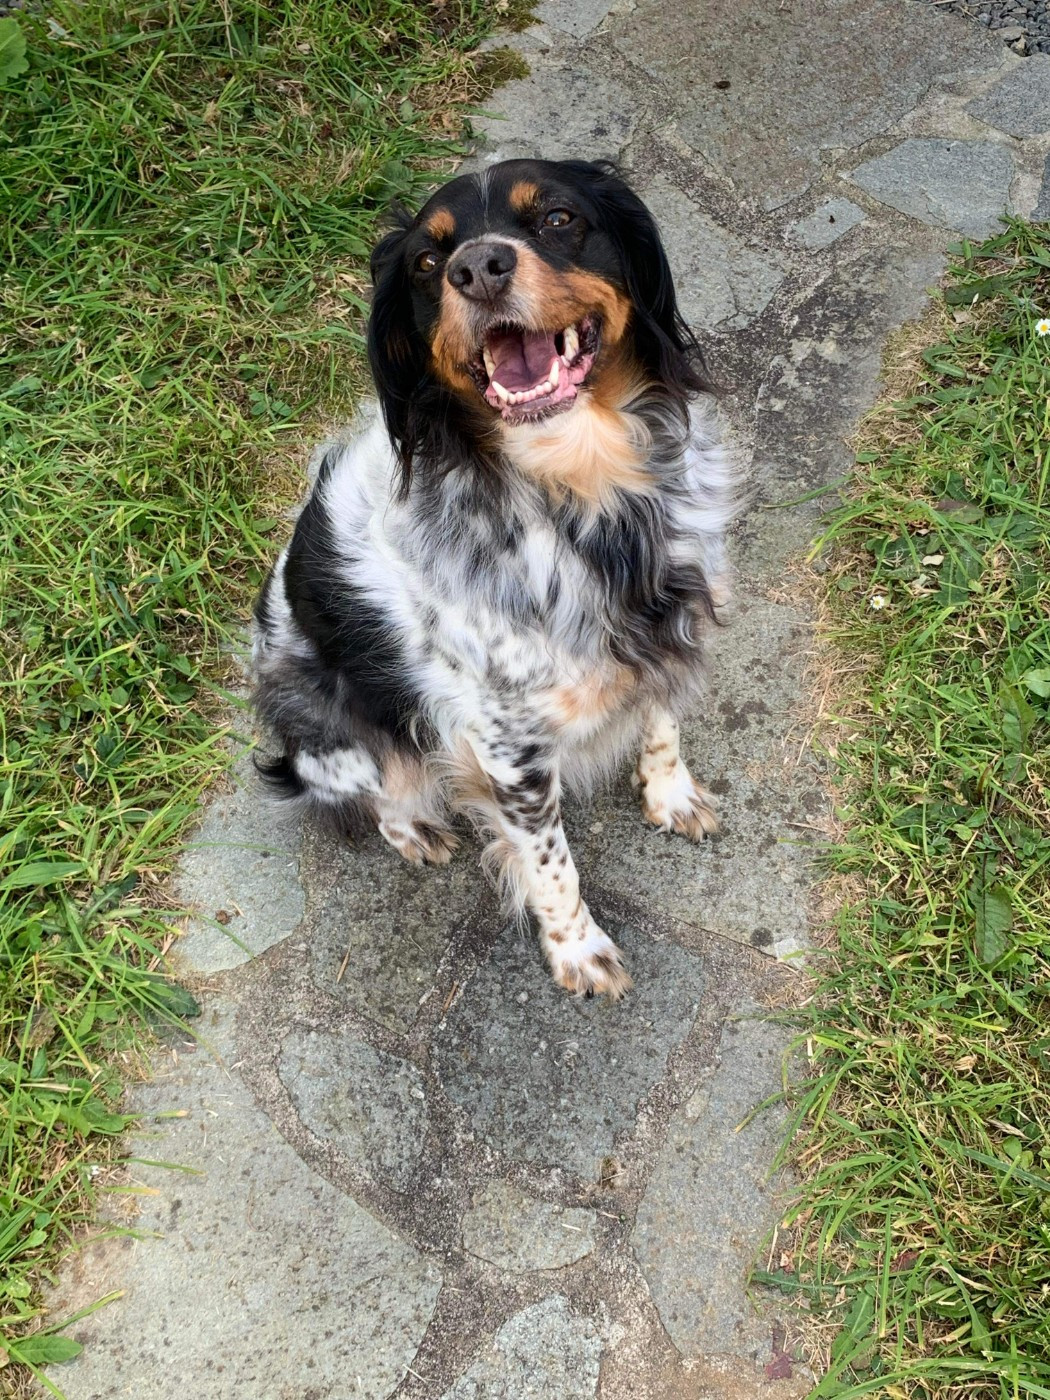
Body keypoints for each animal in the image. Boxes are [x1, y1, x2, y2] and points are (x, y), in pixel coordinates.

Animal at [251, 158, 734, 1000]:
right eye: (427, 260)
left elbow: (662, 723)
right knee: (377, 794)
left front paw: (671, 796)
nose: (477, 268)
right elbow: (551, 862)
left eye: (559, 219)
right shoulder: (509, 747)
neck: (584, 490)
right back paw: (416, 830)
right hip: (343, 732)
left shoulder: (669, 630)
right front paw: (577, 949)